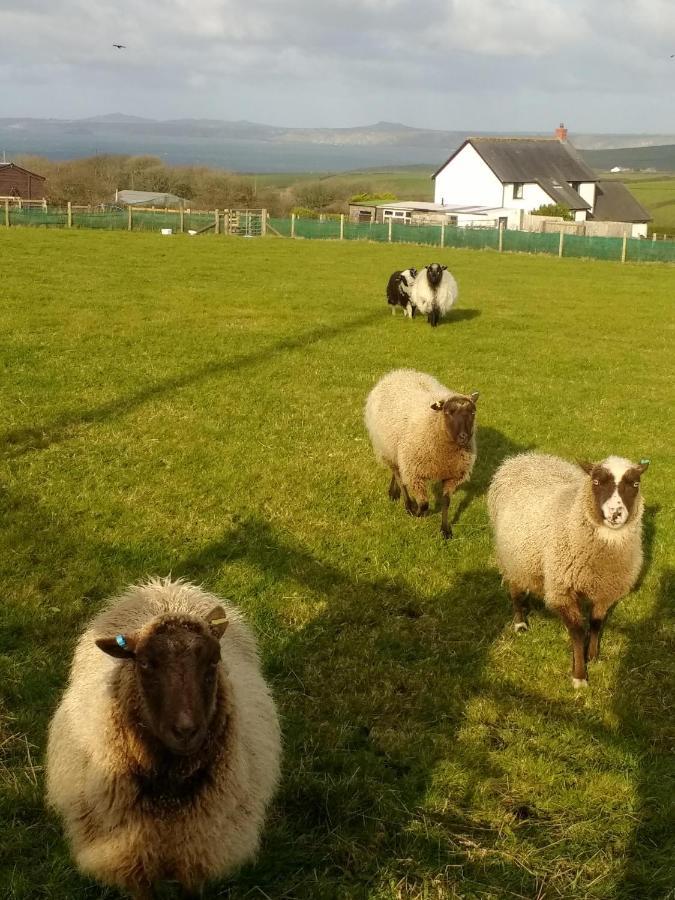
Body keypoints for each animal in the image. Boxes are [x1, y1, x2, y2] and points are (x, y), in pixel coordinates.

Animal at [46, 576, 282, 900]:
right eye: (144, 663)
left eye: (214, 661)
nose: (185, 730)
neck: (168, 797)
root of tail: (165, 586)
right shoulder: (131, 857)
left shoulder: (197, 853)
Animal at [364, 368, 480, 536]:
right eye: (448, 412)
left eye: (472, 413)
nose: (464, 437)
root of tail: (397, 372)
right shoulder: (415, 472)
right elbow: (424, 503)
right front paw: (417, 513)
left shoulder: (452, 476)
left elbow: (446, 502)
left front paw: (445, 530)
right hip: (385, 447)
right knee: (398, 474)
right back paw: (406, 503)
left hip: (395, 448)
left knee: (397, 471)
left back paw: (394, 492)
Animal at [488, 454, 652, 684]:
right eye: (596, 482)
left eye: (635, 484)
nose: (616, 514)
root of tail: (520, 459)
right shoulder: (562, 590)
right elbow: (577, 631)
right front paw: (579, 675)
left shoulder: (606, 590)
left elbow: (596, 623)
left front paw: (592, 655)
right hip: (511, 557)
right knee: (515, 590)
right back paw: (520, 622)